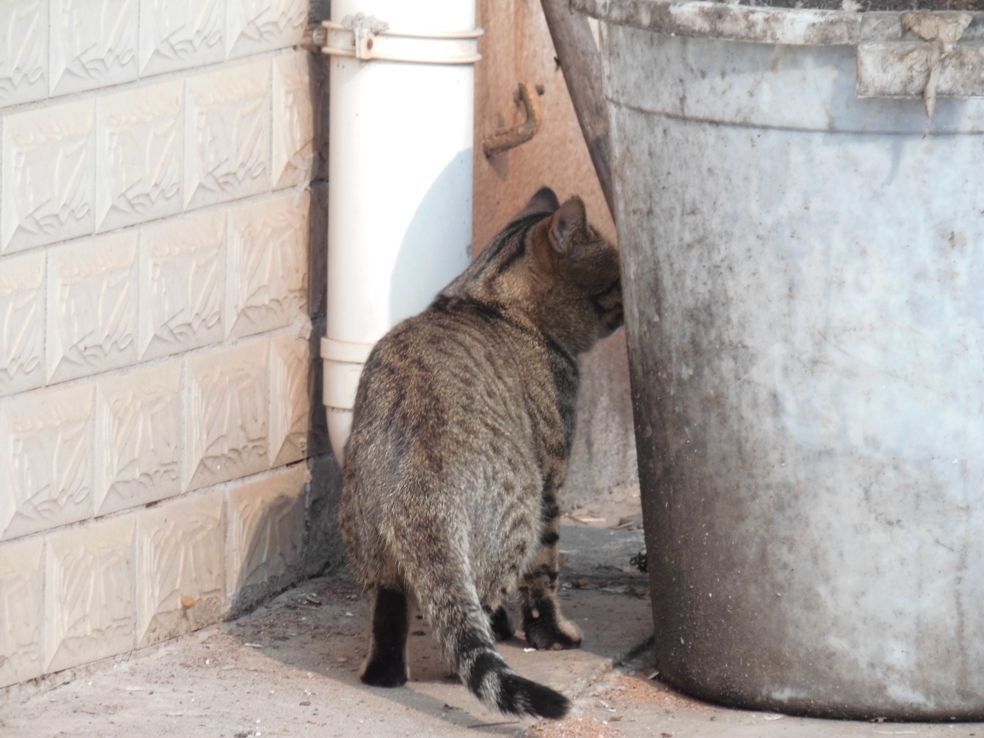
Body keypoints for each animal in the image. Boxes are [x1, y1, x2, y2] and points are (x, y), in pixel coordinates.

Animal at [334, 185, 620, 720]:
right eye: (615, 279)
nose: (631, 305)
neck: (487, 297)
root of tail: (420, 496)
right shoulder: (551, 478)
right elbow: (545, 574)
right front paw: (551, 633)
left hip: (369, 544)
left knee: (392, 617)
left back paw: (386, 674)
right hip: (520, 509)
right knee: (475, 612)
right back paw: (492, 634)